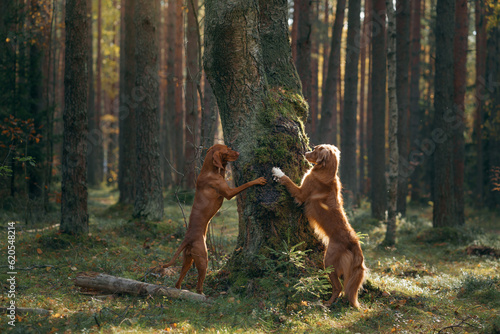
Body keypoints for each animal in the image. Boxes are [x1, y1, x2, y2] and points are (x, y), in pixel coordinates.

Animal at [274, 144, 368, 308]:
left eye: (315, 149)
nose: (304, 153)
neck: (327, 174)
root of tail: (355, 242)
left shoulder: (301, 193)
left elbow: (288, 180)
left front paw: (277, 172)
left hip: (328, 261)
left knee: (338, 287)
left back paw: (327, 303)